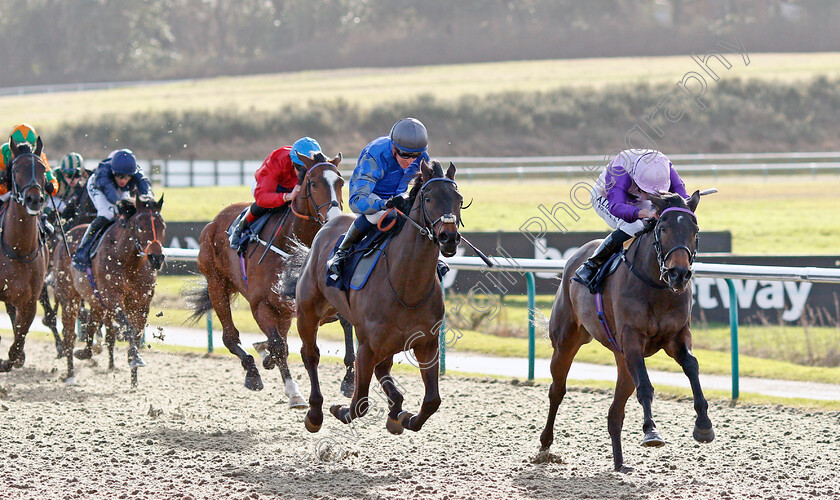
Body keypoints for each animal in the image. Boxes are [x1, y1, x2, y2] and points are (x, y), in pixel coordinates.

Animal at [54, 192, 167, 386]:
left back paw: (86, 352)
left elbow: (137, 331)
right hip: (69, 297)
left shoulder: (142, 302)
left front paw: (134, 377)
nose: (156, 258)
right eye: (139, 226)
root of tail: (65, 237)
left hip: (96, 301)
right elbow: (128, 328)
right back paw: (70, 375)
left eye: (163, 225)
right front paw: (134, 358)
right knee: (69, 334)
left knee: (91, 325)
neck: (129, 261)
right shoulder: (113, 298)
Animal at [187, 151, 348, 406]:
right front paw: (293, 392)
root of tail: (213, 223)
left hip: (281, 310)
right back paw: (253, 371)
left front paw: (348, 381)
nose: (334, 218)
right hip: (217, 284)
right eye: (313, 183)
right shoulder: (262, 305)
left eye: (340, 182)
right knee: (231, 337)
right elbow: (279, 346)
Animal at [284, 159, 466, 434]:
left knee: (384, 369)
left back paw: (395, 411)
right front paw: (339, 409)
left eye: (459, 198)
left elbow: (432, 400)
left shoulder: (427, 343)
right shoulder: (367, 346)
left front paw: (405, 417)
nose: (449, 236)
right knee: (311, 354)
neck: (406, 287)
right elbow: (359, 402)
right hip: (308, 312)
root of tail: (326, 225)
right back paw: (314, 413)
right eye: (429, 198)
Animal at [540, 190, 716, 472]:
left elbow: (692, 366)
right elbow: (645, 386)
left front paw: (703, 425)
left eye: (695, 229)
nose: (679, 274)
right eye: (663, 228)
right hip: (566, 342)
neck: (657, 286)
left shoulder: (677, 336)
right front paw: (651, 431)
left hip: (621, 359)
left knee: (615, 411)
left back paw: (619, 462)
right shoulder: (632, 339)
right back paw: (545, 444)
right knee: (557, 390)